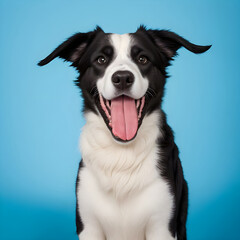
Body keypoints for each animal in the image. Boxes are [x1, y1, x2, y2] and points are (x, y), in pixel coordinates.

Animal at [38, 25, 211, 239]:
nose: (122, 78)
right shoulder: (89, 225)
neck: (121, 154)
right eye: (101, 60)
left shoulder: (162, 226)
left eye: (143, 59)